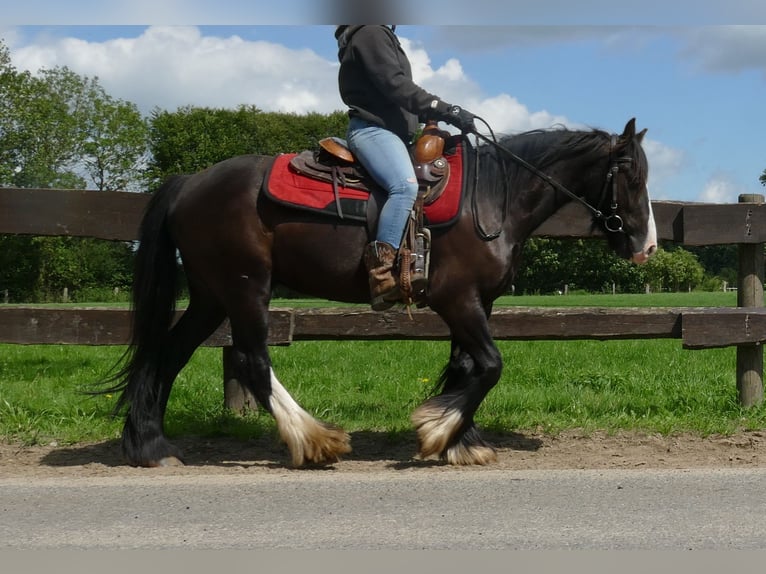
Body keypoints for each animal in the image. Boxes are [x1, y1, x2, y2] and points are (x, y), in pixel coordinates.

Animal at [106, 117, 660, 468]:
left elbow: (467, 366)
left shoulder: (476, 302)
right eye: (631, 176)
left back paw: (150, 445)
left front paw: (460, 441)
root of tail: (188, 182)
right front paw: (438, 430)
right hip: (245, 287)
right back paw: (314, 439)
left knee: (168, 353)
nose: (647, 246)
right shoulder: (457, 299)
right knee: (250, 359)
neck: (493, 198)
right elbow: (491, 365)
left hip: (211, 295)